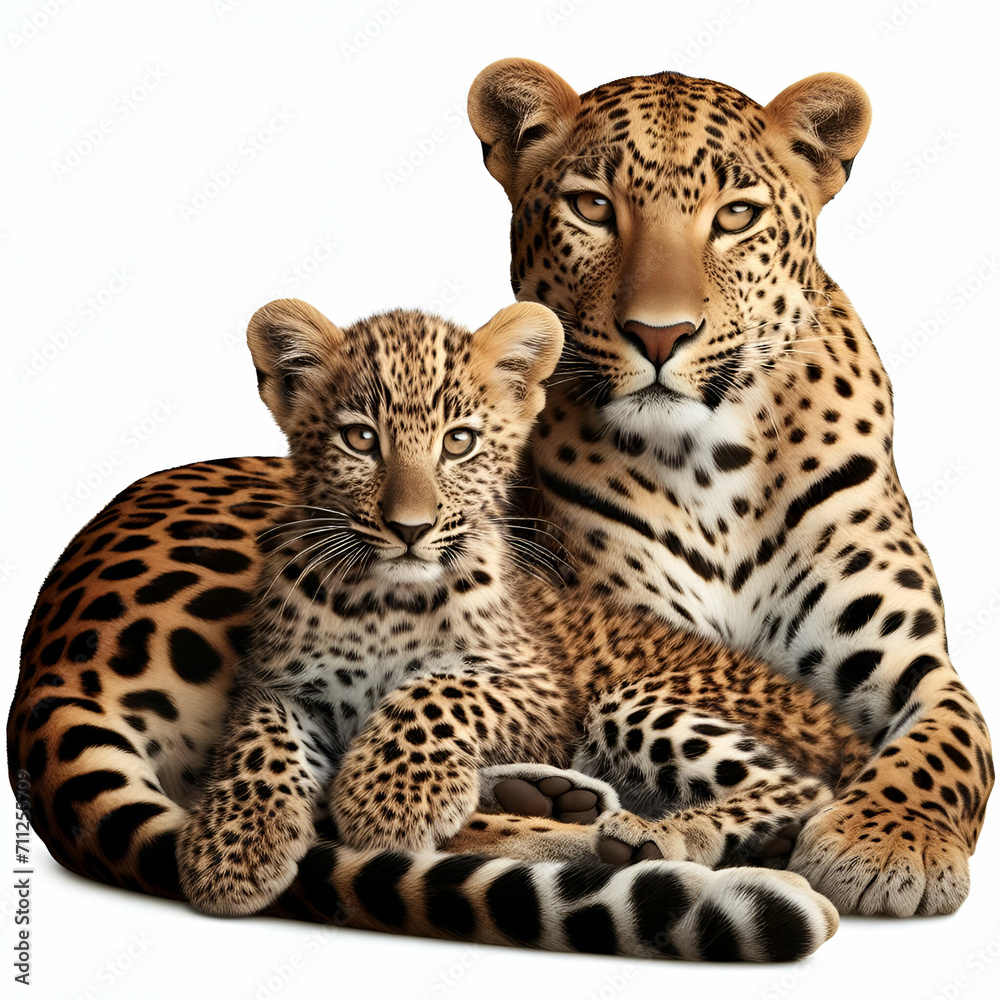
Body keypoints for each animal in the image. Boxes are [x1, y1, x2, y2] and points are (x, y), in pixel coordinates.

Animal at [9, 295, 857, 962]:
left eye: (459, 442)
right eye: (360, 440)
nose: (411, 528)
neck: (379, 603)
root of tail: (49, 664)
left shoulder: (534, 678)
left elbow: (435, 691)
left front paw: (389, 796)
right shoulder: (274, 684)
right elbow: (264, 748)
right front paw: (236, 846)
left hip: (638, 701)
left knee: (802, 786)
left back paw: (654, 834)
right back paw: (564, 806)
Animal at [464, 58, 993, 917]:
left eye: (737, 215)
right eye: (592, 207)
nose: (660, 335)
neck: (716, 465)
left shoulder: (914, 666)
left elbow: (951, 743)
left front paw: (887, 845)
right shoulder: (634, 641)